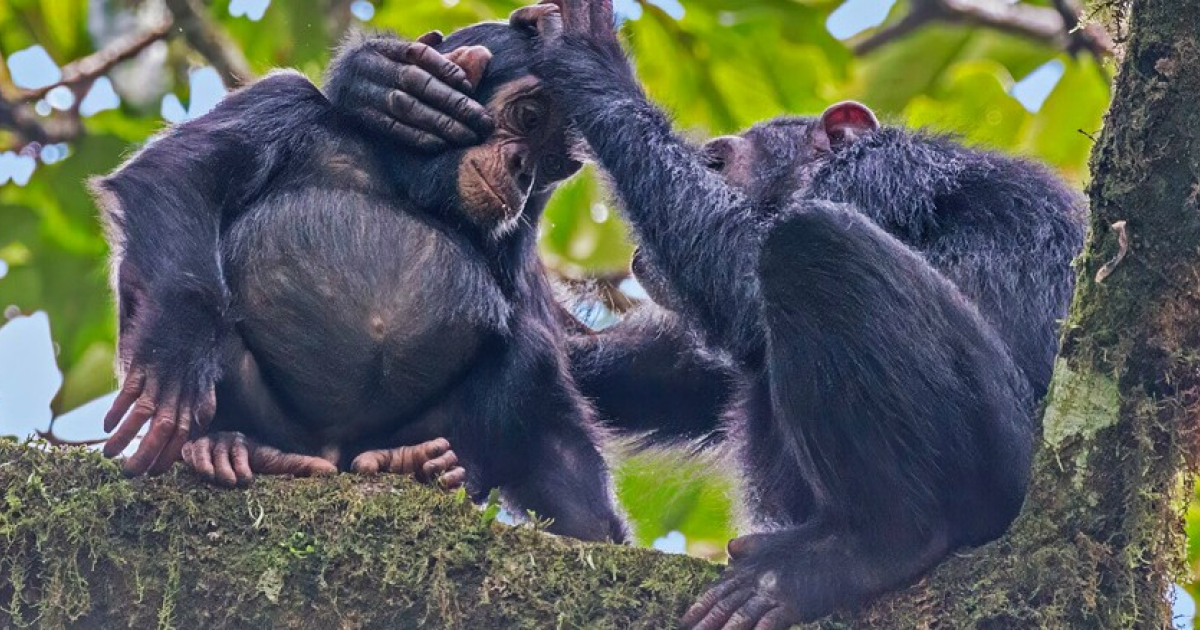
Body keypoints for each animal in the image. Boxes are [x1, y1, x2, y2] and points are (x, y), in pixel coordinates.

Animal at [92, 17, 628, 542]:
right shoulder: (280, 101)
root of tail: (332, 454)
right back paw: (228, 446)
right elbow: (180, 175)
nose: (524, 169)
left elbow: (561, 411)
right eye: (530, 117)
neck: (409, 179)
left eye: (552, 162)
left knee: (531, 352)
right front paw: (175, 360)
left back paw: (419, 465)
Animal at [345, 2, 1089, 624]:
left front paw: (589, 58)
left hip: (1001, 468)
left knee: (813, 244)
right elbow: (630, 369)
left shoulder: (877, 180)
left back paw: (871, 548)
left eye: (715, 161)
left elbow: (744, 280)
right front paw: (377, 82)